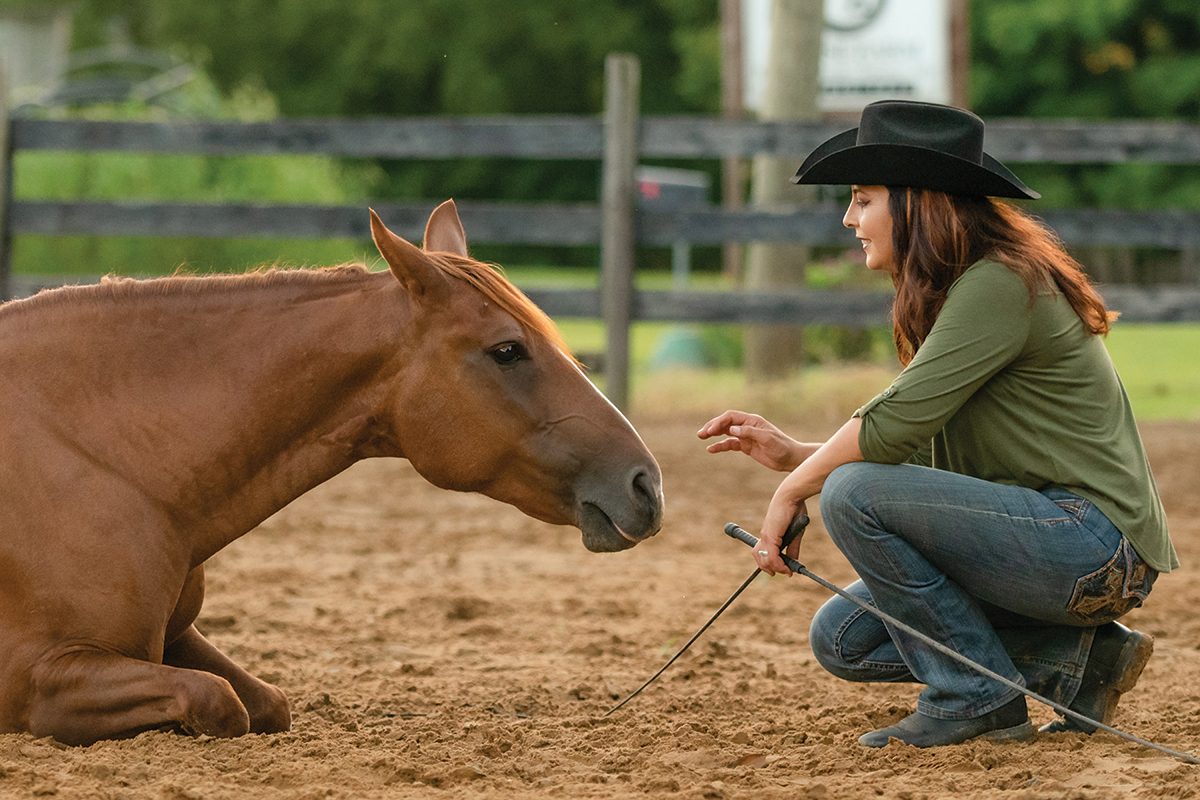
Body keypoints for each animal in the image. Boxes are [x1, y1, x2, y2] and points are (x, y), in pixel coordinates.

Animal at [0, 200, 667, 743]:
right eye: (507, 350)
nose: (645, 483)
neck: (104, 455)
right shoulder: (41, 678)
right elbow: (218, 703)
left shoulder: (176, 636)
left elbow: (267, 703)